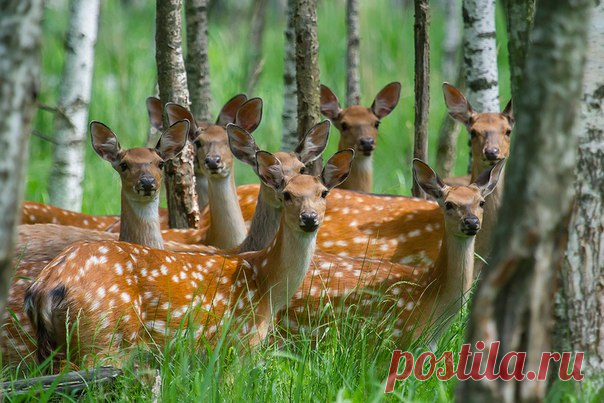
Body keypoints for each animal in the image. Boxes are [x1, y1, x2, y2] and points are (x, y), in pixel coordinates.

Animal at [24, 142, 354, 370]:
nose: (309, 218)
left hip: (57, 347)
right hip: (101, 336)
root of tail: (45, 286)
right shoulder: (237, 343)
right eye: (287, 195)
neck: (265, 285)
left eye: (323, 193)